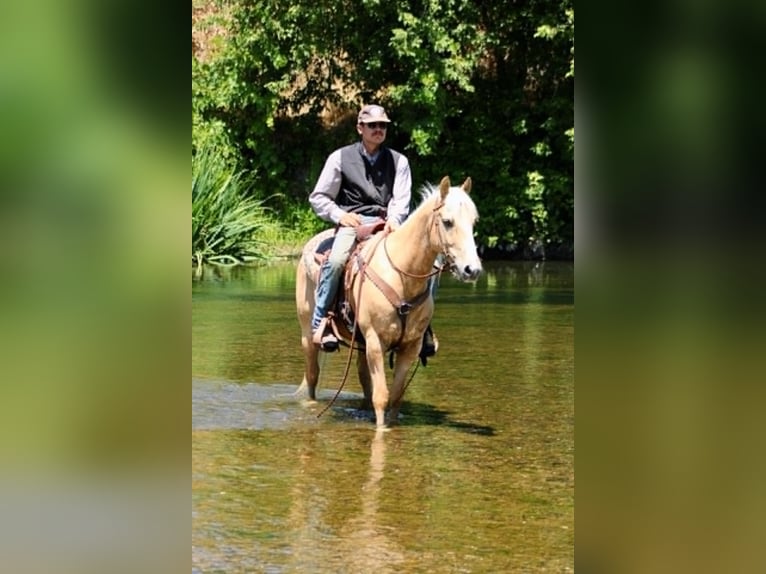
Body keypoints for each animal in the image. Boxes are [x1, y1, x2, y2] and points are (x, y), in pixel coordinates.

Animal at [295, 176, 482, 429]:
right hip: (309, 335)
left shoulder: (410, 346)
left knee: (364, 380)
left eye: (474, 222)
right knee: (312, 376)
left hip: (361, 343)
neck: (402, 276)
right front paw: (381, 430)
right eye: (447, 222)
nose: (472, 270)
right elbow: (382, 397)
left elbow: (395, 396)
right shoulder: (376, 341)